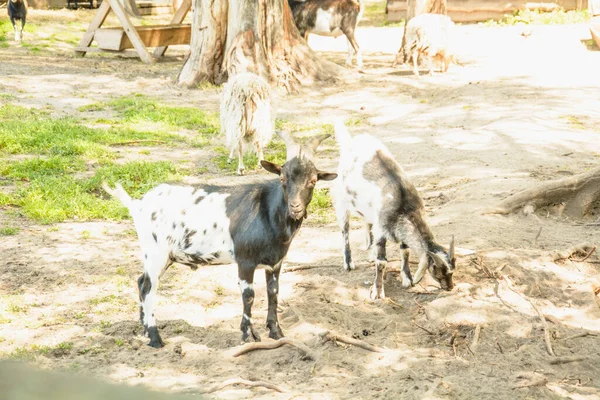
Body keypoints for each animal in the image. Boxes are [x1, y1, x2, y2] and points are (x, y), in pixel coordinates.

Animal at [332, 122, 454, 300]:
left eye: (452, 270)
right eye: (437, 270)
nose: (451, 287)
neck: (404, 204)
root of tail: (350, 142)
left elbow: (405, 251)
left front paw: (407, 278)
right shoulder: (382, 230)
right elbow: (382, 261)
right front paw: (377, 291)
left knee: (366, 221)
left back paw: (369, 248)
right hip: (341, 201)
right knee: (345, 229)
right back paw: (348, 262)